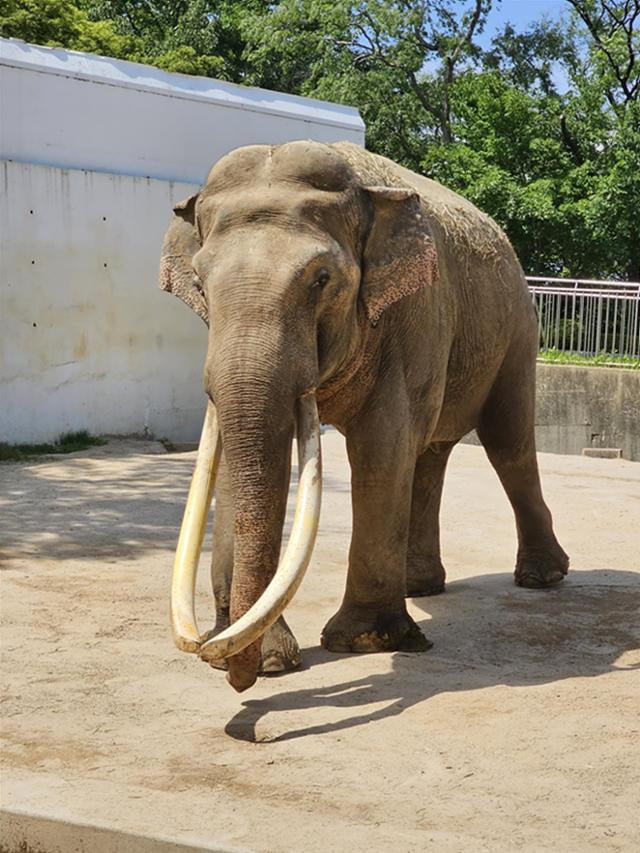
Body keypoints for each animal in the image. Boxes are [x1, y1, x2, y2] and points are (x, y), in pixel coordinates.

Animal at [160, 140, 568, 692]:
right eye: (200, 284)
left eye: (321, 279)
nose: (225, 666)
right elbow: (236, 456)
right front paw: (265, 660)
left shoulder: (409, 316)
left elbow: (380, 446)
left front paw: (363, 642)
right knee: (430, 451)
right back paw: (421, 587)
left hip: (517, 329)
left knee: (507, 443)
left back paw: (542, 578)